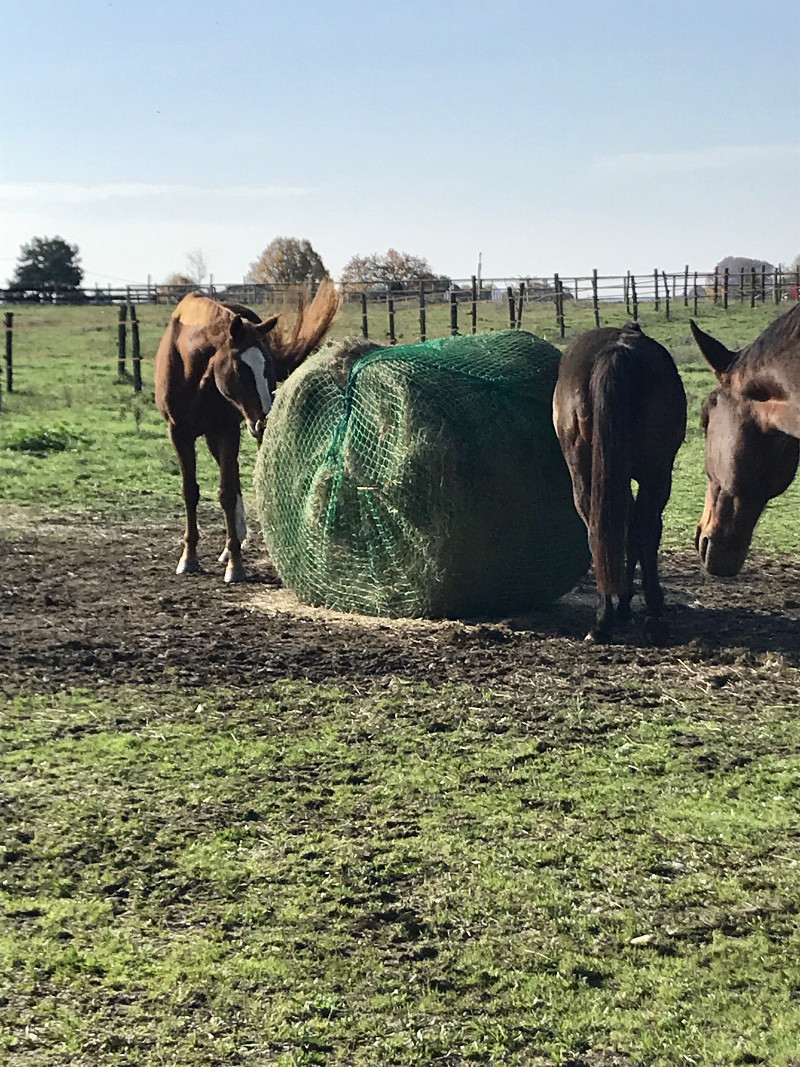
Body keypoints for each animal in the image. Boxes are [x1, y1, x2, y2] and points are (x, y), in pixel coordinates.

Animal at [154, 281, 339, 584]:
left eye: (268, 365)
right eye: (240, 366)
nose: (265, 420)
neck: (191, 366)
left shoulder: (228, 430)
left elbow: (227, 493)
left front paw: (236, 565)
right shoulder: (179, 433)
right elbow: (190, 491)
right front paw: (189, 558)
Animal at [550, 320, 691, 640]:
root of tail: (617, 351)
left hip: (586, 469)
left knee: (597, 528)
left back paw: (604, 618)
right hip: (656, 473)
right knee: (644, 527)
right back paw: (649, 614)